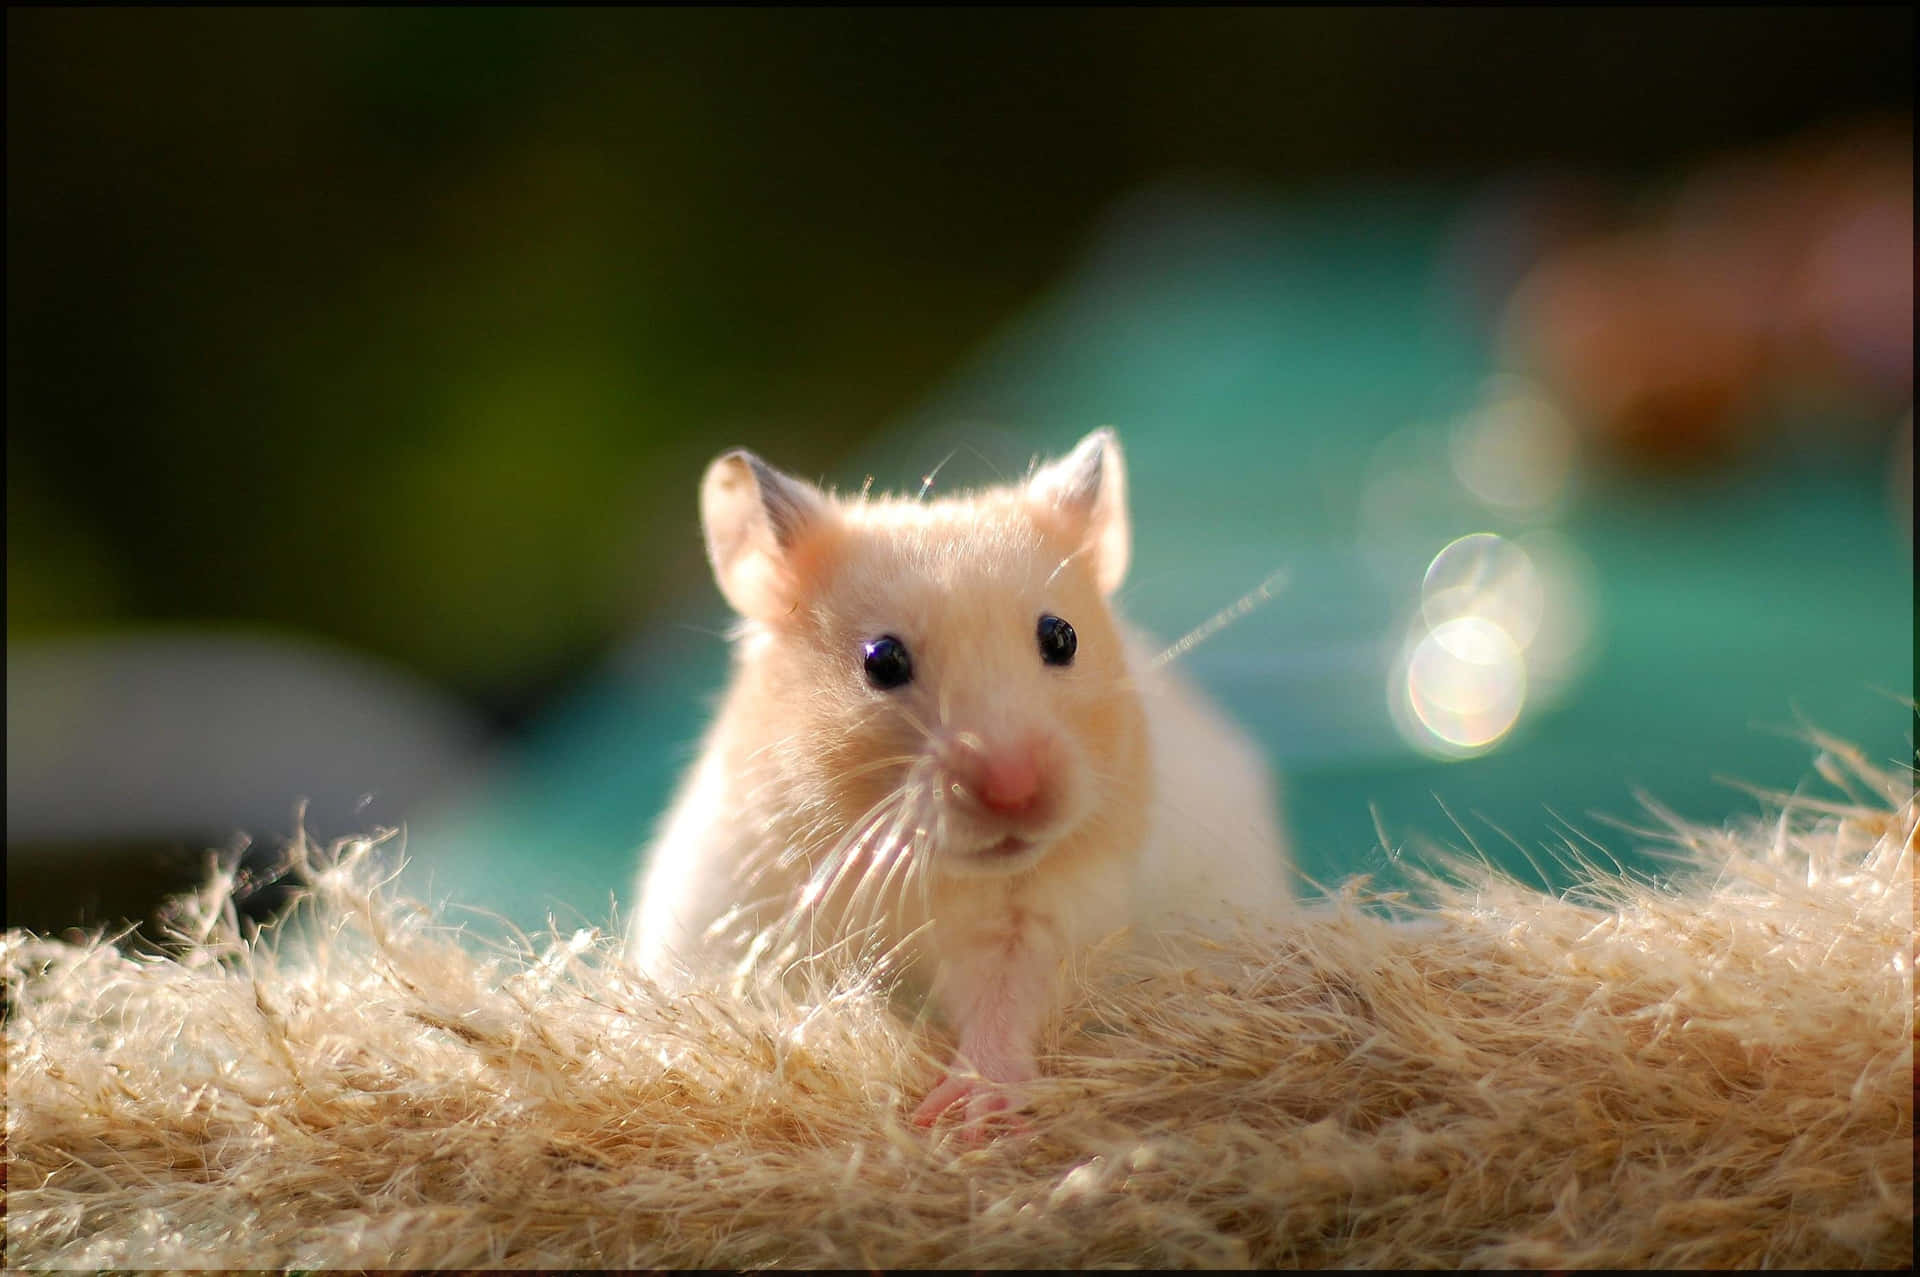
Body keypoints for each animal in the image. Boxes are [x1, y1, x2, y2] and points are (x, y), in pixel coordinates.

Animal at [629, 433, 1290, 1129]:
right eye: (882, 660)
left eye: (1062, 637)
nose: (1015, 792)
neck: (920, 874)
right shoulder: (741, 913)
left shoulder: (1052, 911)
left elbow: (1006, 1000)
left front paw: (966, 1117)